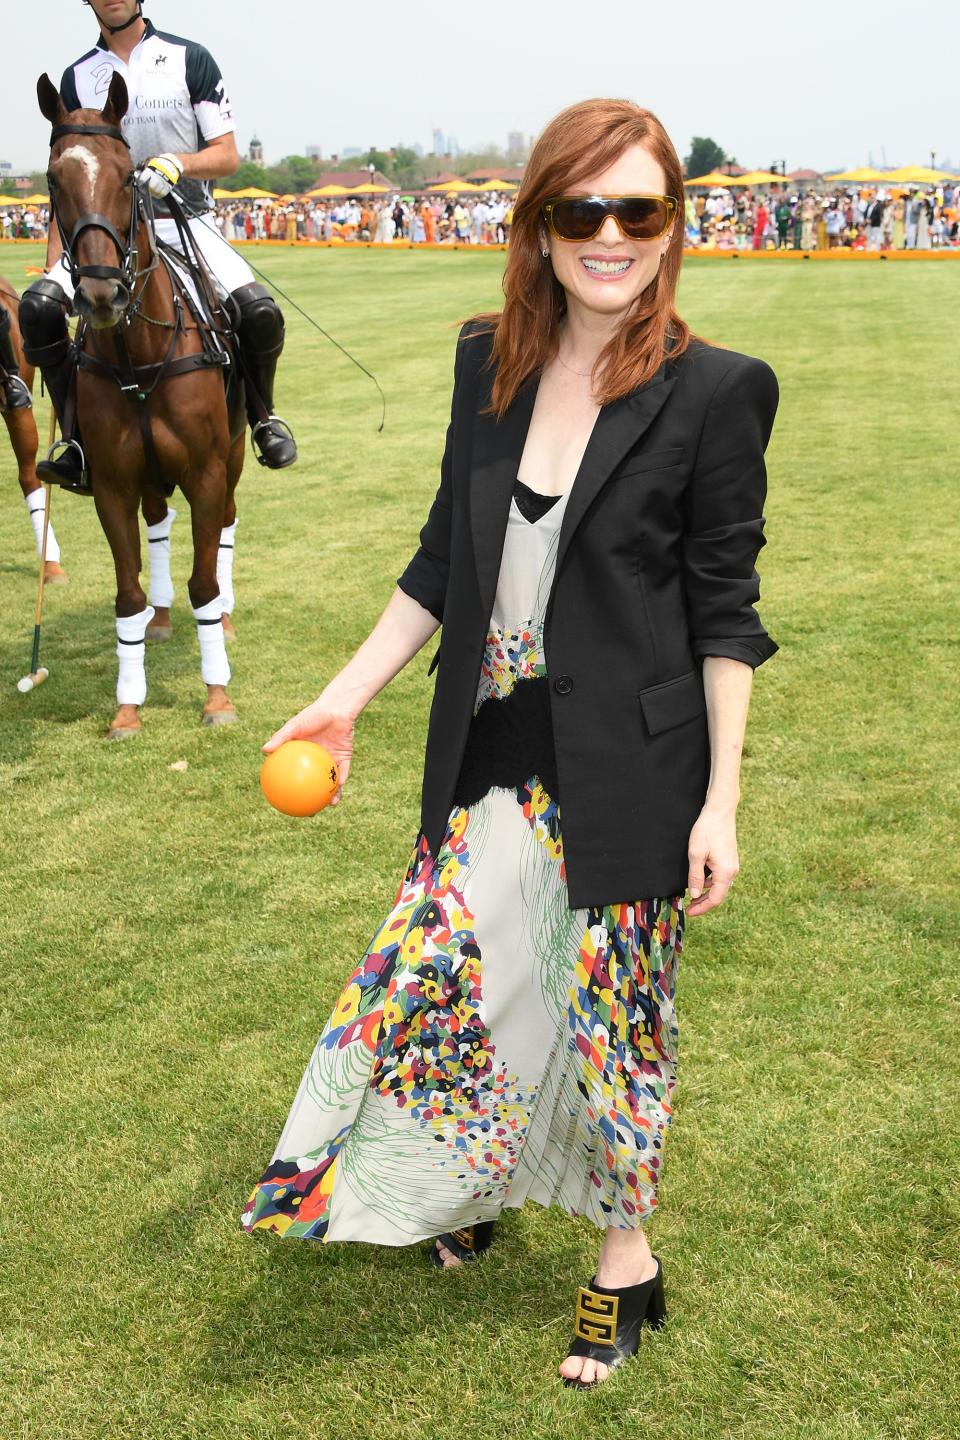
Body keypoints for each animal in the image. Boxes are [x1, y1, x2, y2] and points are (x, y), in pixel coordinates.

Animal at [36, 68, 247, 737]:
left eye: (128, 174)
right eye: (53, 179)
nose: (102, 294)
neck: (142, 356)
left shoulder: (206, 471)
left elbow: (203, 584)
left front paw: (217, 698)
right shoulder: (112, 482)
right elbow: (125, 593)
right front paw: (127, 706)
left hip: (234, 455)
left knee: (226, 523)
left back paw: (224, 619)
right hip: (150, 475)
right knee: (157, 523)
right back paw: (160, 616)